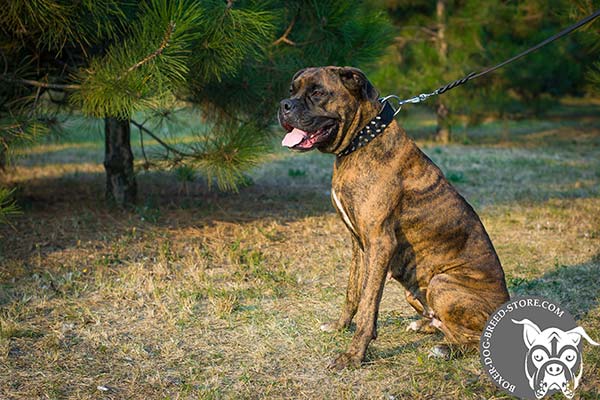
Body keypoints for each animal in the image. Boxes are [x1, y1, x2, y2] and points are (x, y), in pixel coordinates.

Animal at [278, 65, 508, 368]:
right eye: (292, 90)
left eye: (317, 92)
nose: (284, 105)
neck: (362, 139)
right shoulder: (359, 244)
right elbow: (353, 292)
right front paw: (340, 327)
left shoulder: (380, 242)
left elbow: (368, 303)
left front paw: (353, 355)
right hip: (416, 291)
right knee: (442, 324)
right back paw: (424, 326)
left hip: (441, 282)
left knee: (473, 338)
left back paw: (445, 349)